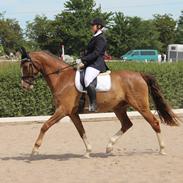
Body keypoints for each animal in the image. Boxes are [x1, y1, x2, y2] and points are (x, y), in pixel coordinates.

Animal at [19, 47, 178, 157]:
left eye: (26, 66)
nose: (24, 86)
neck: (61, 78)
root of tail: (139, 74)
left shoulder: (62, 110)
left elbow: (45, 126)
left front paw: (35, 149)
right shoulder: (72, 113)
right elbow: (81, 131)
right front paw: (88, 152)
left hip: (141, 106)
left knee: (154, 123)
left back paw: (162, 149)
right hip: (119, 108)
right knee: (127, 124)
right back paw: (109, 147)